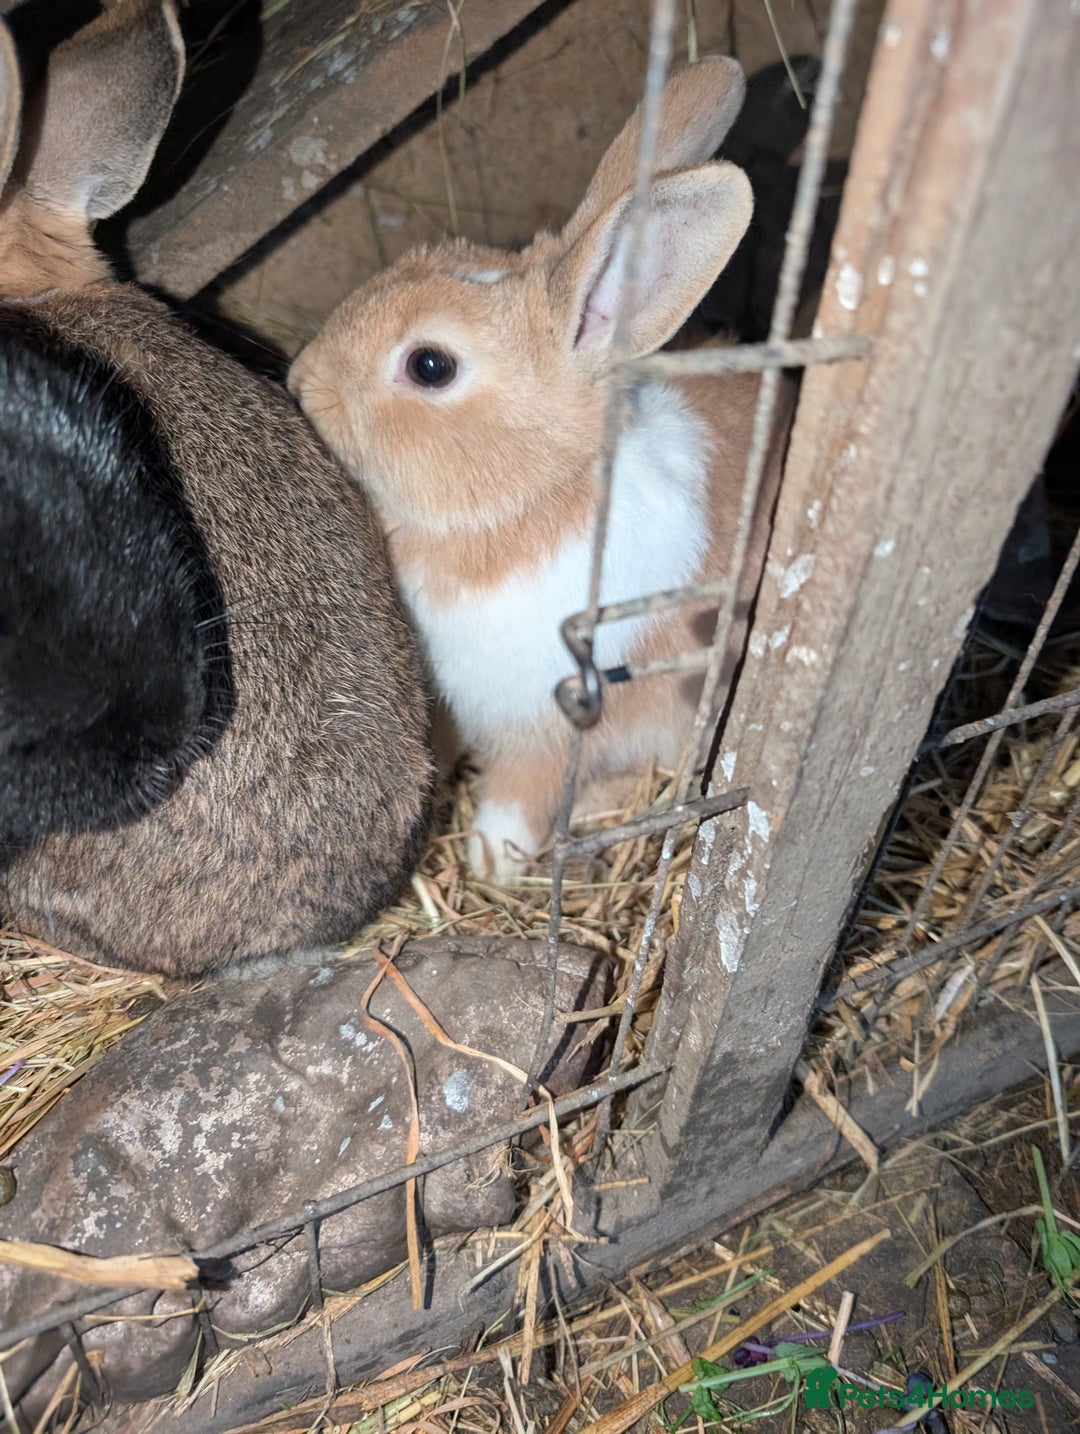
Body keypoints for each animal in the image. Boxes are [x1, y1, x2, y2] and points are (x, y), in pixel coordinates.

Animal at [288, 57, 793, 884]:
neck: (524, 500)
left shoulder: (553, 720)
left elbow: (522, 793)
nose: (300, 384)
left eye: (430, 366)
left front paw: (490, 860)